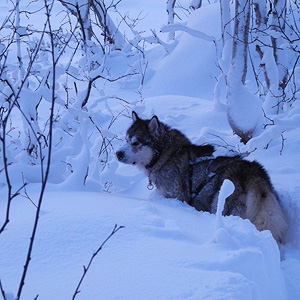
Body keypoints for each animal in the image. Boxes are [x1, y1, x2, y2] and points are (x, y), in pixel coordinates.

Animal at [116, 111, 288, 243]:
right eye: (126, 140)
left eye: (136, 143)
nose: (118, 153)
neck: (166, 155)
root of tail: (255, 174)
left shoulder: (175, 195)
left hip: (222, 206)